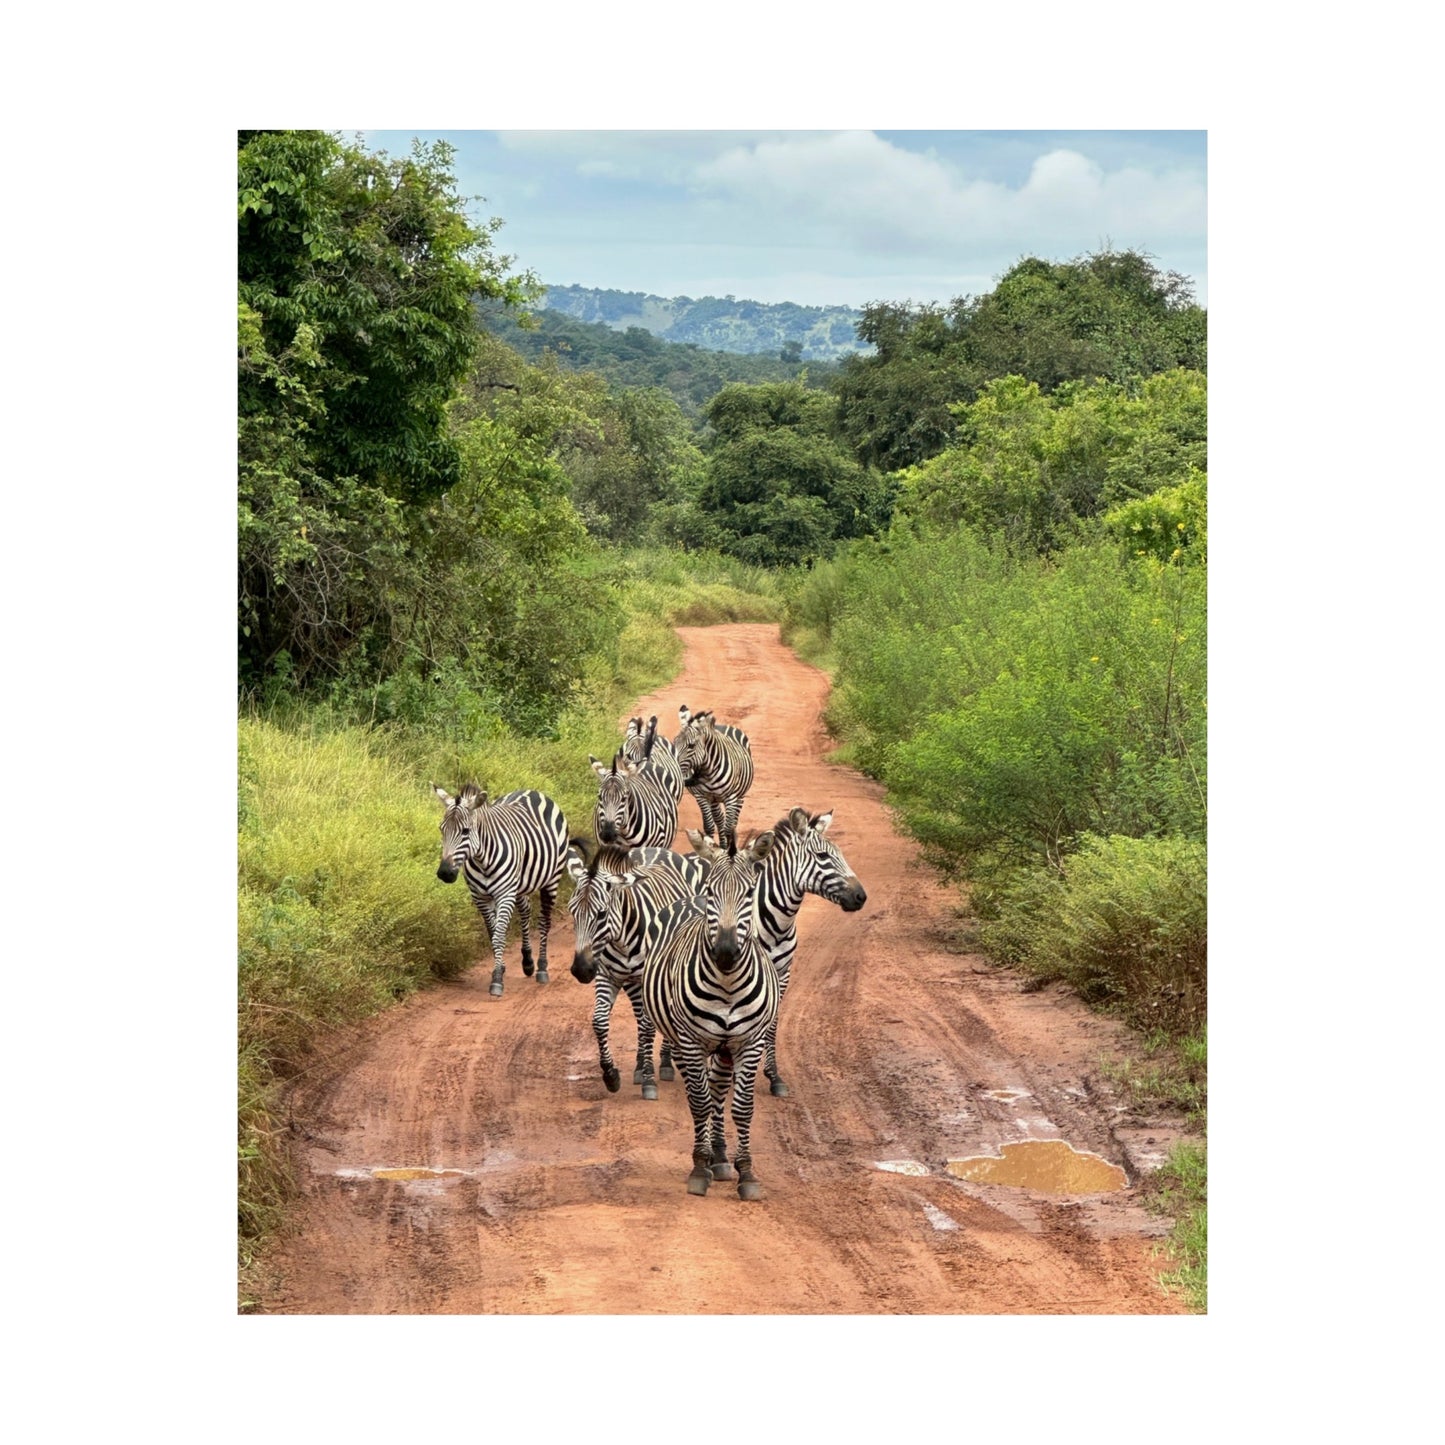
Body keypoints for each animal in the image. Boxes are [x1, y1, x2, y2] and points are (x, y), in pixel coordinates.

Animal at [432, 783, 569, 998]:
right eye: (441, 829)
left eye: (465, 831)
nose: (445, 873)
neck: (482, 859)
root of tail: (531, 791)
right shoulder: (480, 897)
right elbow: (493, 933)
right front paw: (501, 968)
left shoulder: (504, 894)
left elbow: (499, 936)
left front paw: (497, 980)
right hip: (519, 885)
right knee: (525, 911)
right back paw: (528, 962)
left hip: (551, 879)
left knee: (545, 921)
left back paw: (541, 968)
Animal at [565, 840, 709, 1098]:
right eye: (572, 912)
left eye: (601, 914)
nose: (581, 970)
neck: (620, 938)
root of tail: (655, 849)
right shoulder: (605, 975)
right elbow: (599, 1022)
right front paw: (611, 1075)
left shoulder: (646, 977)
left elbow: (648, 1027)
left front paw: (649, 1080)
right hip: (632, 982)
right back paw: (639, 1065)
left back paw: (663, 1064)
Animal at [641, 829, 779, 1199]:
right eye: (712, 891)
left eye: (749, 893)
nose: (726, 953)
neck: (728, 984)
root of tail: (689, 900)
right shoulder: (692, 1041)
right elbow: (700, 1103)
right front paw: (699, 1168)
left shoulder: (750, 1042)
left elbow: (741, 1107)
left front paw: (747, 1173)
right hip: (683, 1041)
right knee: (697, 1094)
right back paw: (708, 1157)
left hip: (725, 1048)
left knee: (718, 1089)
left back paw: (720, 1156)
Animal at [673, 704, 755, 844]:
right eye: (674, 743)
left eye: (691, 745)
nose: (687, 779)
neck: (708, 771)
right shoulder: (702, 796)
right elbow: (709, 826)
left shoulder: (731, 797)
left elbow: (728, 829)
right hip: (714, 799)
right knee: (720, 820)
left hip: (740, 795)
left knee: (732, 823)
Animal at [752, 807, 867, 1098]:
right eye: (823, 856)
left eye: (841, 853)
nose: (861, 897)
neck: (776, 922)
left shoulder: (783, 972)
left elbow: (772, 1023)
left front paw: (774, 1077)